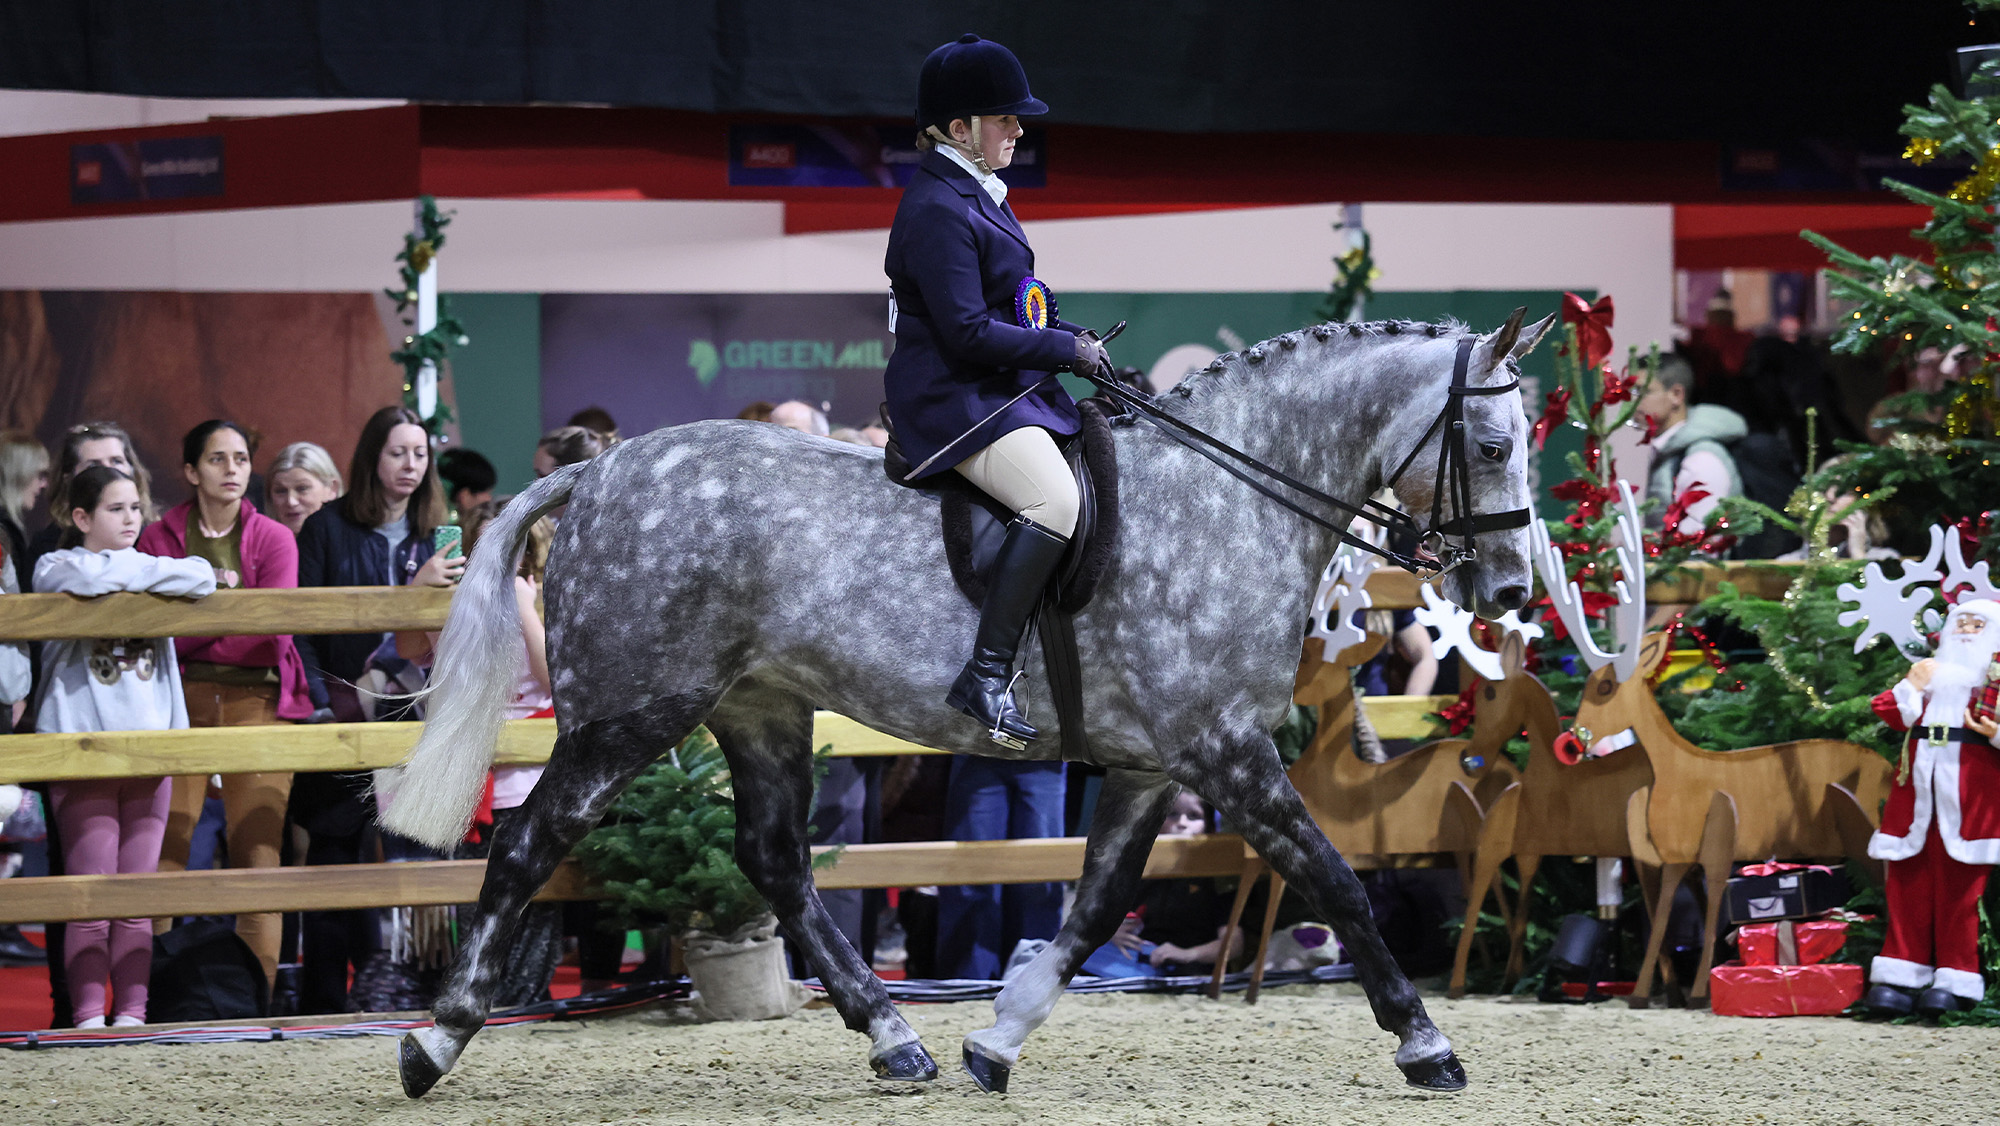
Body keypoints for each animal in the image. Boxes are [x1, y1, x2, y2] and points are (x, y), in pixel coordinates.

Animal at [382, 309, 1554, 1099]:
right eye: (1495, 446)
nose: (1506, 594)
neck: (1227, 496)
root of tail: (598, 473)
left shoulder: (1149, 765)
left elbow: (1093, 908)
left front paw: (995, 1040)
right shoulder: (1224, 753)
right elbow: (1338, 884)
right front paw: (1426, 1042)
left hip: (759, 711)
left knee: (774, 861)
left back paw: (894, 1036)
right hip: (628, 717)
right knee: (527, 847)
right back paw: (433, 1041)